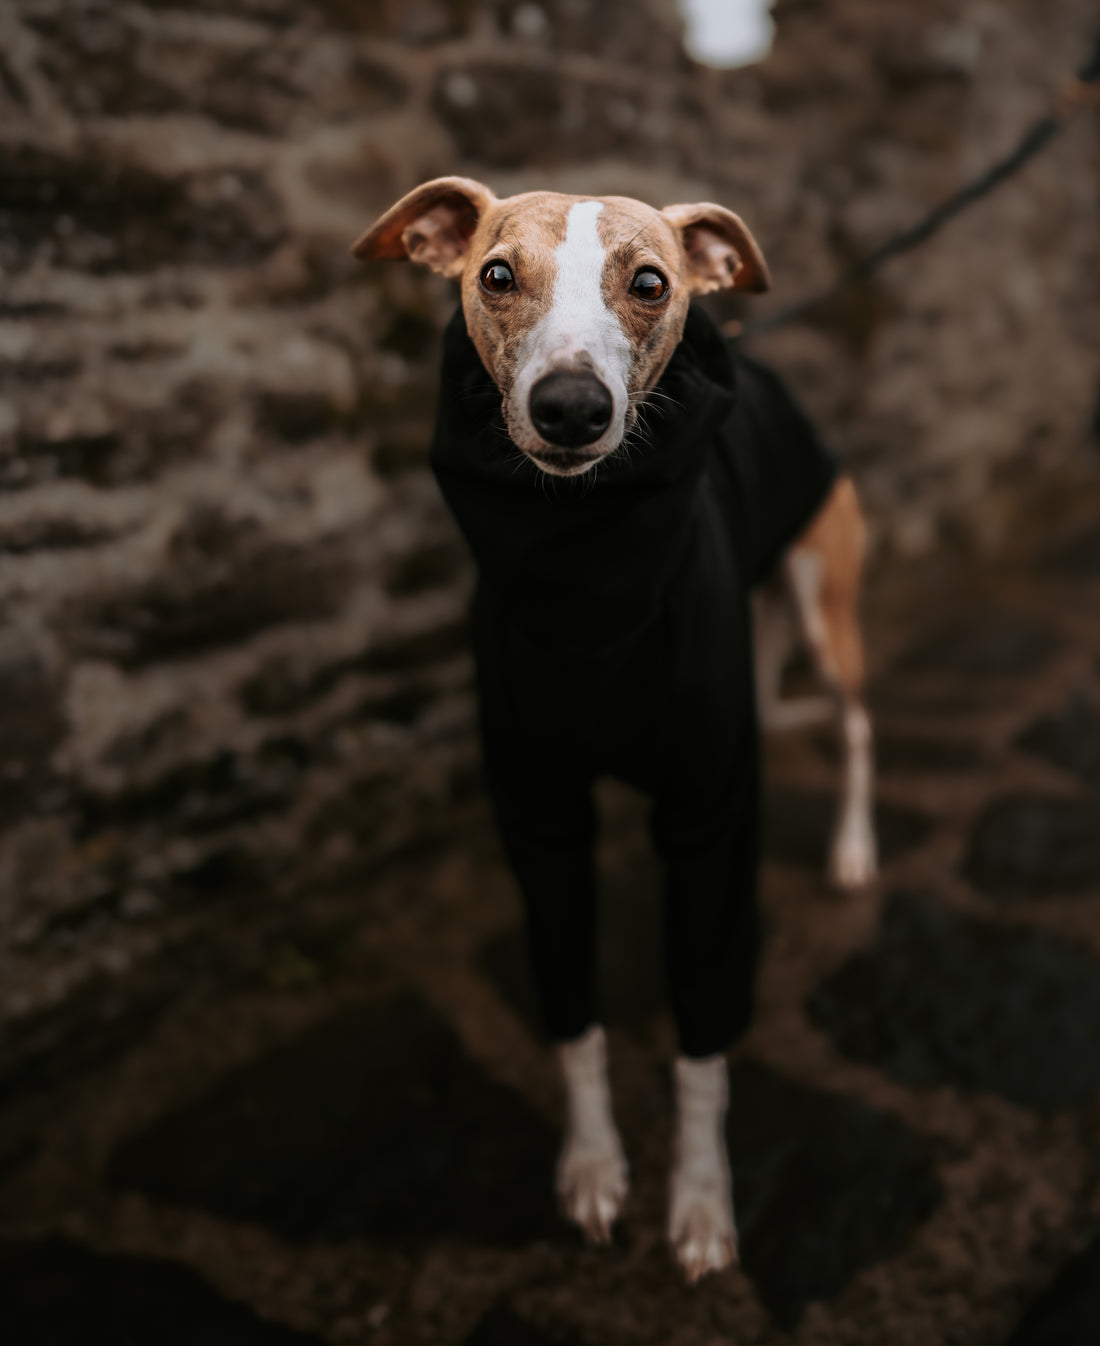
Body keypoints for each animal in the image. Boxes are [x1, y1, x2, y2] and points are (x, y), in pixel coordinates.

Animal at [352, 181, 877, 1281]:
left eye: (649, 282)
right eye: (495, 273)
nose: (569, 408)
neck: (585, 563)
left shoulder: (708, 817)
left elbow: (703, 1048)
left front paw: (702, 1202)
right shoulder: (541, 821)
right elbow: (572, 1021)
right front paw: (593, 1168)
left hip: (825, 607)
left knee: (857, 727)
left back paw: (853, 849)